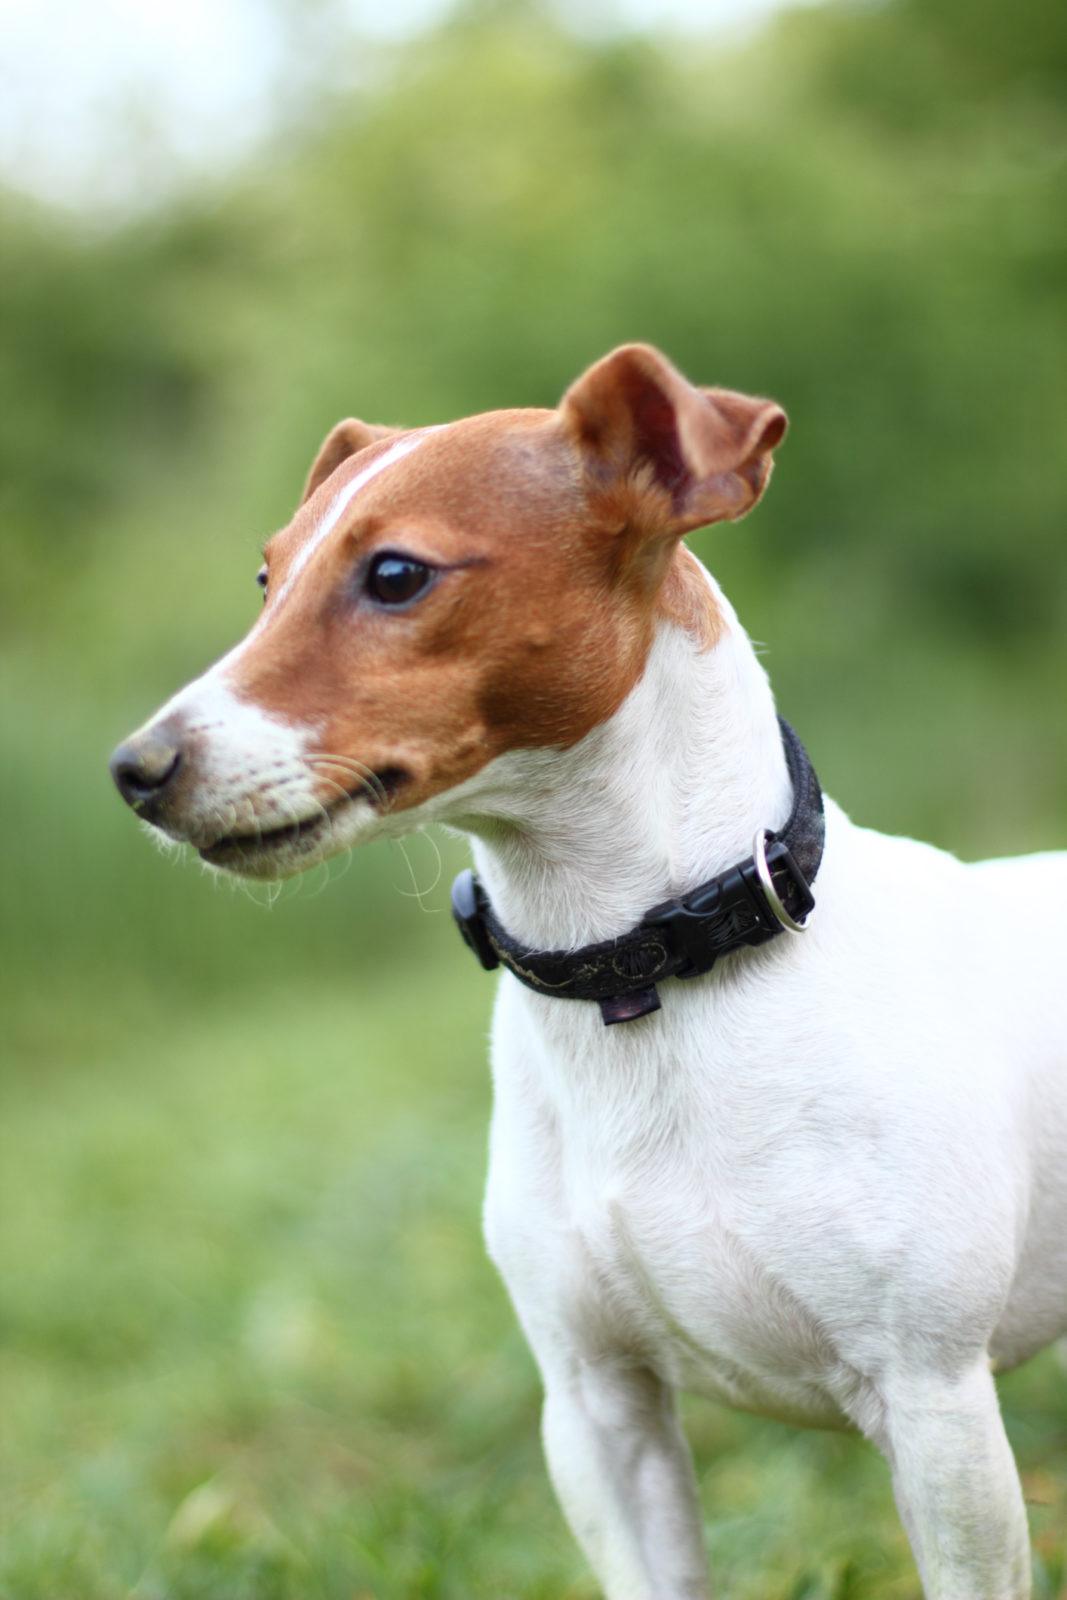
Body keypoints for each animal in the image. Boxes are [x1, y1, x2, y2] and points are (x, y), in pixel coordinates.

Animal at [110, 344, 1067, 1593]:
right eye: (266, 577)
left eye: (396, 573)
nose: (137, 768)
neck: (639, 968)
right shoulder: (597, 1410)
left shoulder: (935, 1408)